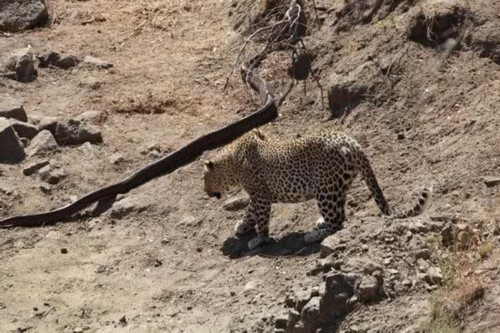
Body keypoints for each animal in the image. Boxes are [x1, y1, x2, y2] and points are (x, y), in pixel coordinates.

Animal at [203, 129, 430, 249]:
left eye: (204, 178)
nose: (205, 191)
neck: (233, 162)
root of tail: (351, 142)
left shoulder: (261, 197)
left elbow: (261, 219)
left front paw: (259, 239)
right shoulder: (258, 196)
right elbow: (249, 212)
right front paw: (242, 226)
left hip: (324, 190)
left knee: (337, 223)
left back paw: (312, 235)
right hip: (338, 186)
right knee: (341, 215)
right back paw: (320, 223)